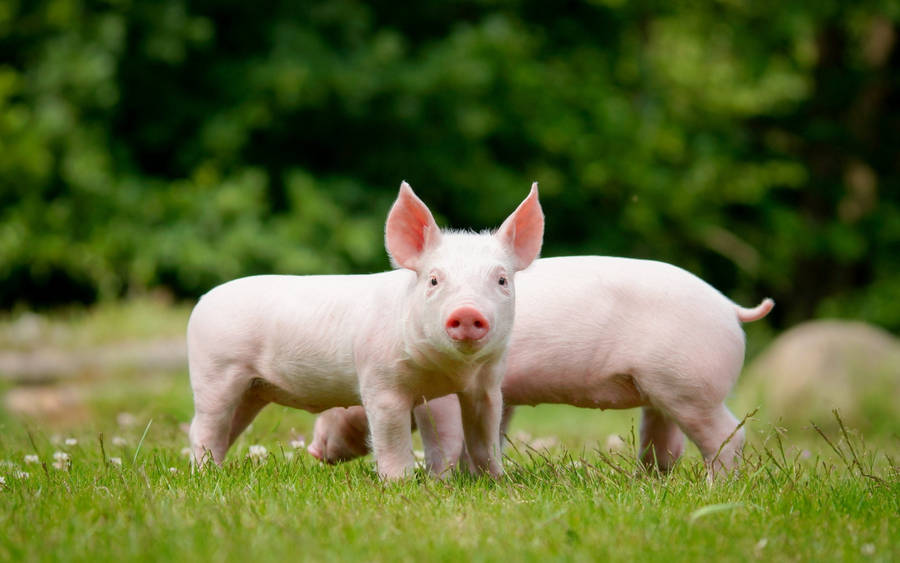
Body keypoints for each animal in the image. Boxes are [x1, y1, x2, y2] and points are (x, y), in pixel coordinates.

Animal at [187, 181, 544, 479]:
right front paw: (400, 484)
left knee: (226, 427)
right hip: (215, 372)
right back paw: (205, 474)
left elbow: (486, 438)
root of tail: (203, 300)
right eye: (433, 280)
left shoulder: (488, 384)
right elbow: (392, 439)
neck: (450, 371)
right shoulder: (380, 381)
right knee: (203, 426)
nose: (467, 312)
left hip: (252, 390)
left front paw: (496, 481)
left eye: (502, 280)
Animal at [308, 256, 774, 476]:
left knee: (727, 435)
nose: (313, 450)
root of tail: (731, 308)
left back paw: (717, 486)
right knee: (666, 442)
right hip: (663, 390)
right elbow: (492, 431)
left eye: (344, 403)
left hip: (692, 385)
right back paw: (647, 480)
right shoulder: (501, 393)